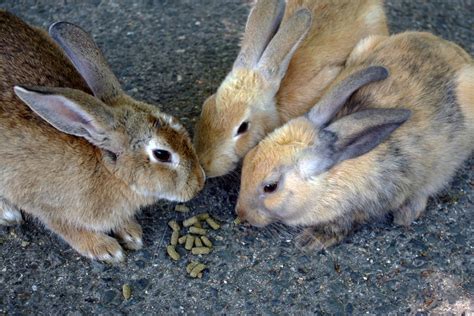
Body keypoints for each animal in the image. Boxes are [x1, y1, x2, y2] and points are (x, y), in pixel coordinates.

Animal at [0, 10, 205, 262]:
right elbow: (66, 227)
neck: (108, 171)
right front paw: (106, 250)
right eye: (162, 154)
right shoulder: (45, 205)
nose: (200, 182)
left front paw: (131, 233)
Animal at [236, 31, 474, 249]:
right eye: (248, 158)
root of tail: (450, 48)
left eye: (270, 187)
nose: (241, 213)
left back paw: (406, 214)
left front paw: (311, 241)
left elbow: (345, 222)